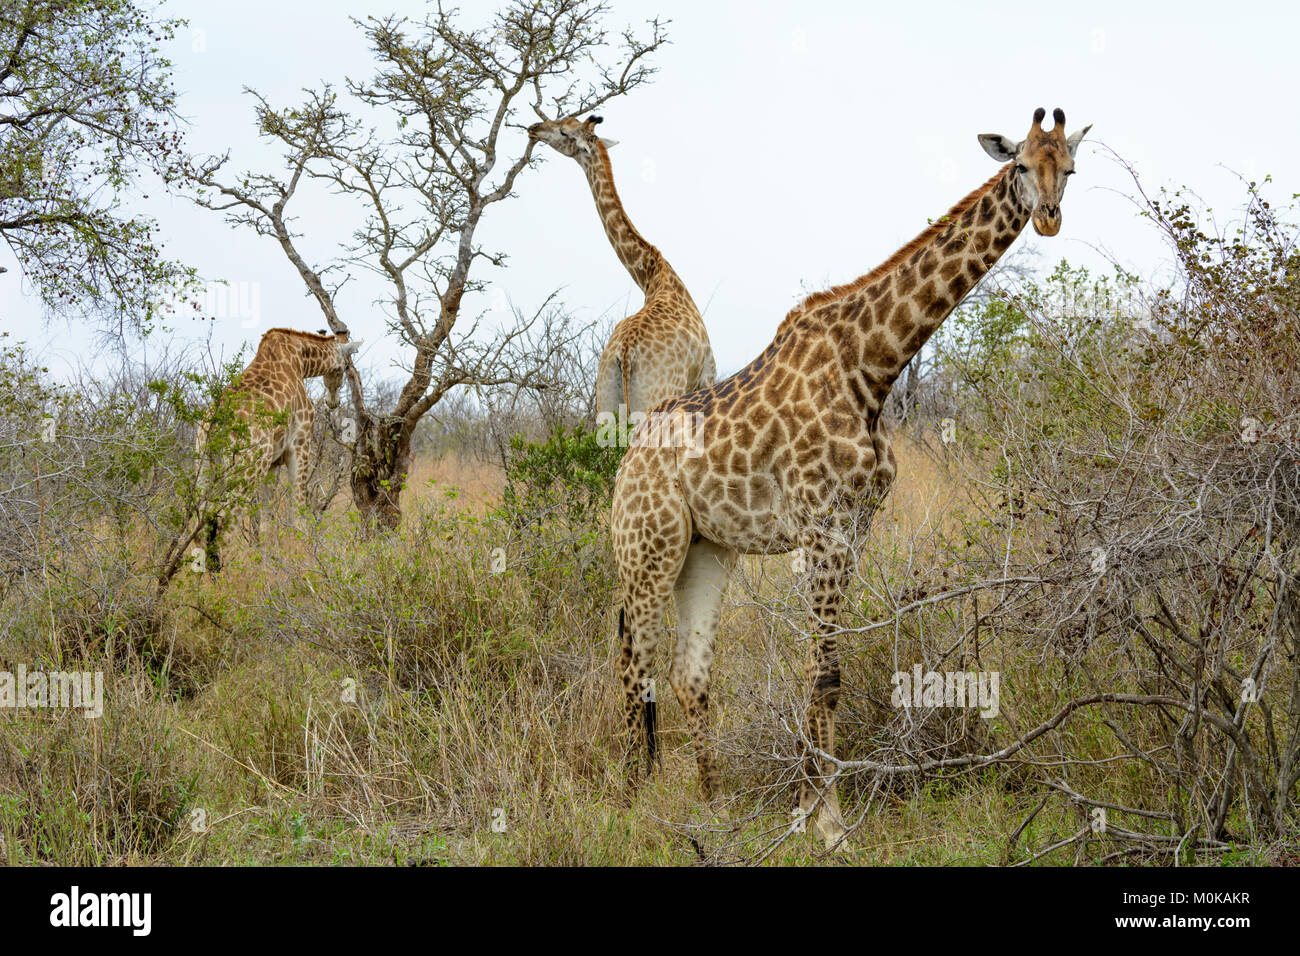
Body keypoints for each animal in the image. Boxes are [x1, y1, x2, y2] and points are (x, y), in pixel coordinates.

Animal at [196, 325, 361, 572]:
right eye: (346, 367)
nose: (333, 402)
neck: (299, 361)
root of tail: (214, 425)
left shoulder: (272, 463)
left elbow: (266, 523)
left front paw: (266, 568)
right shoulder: (300, 445)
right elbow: (297, 515)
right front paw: (304, 564)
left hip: (204, 466)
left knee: (198, 525)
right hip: (247, 468)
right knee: (224, 524)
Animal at [522, 113, 717, 421]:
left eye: (564, 130)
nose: (534, 128)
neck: (651, 273)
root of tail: (625, 352)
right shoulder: (707, 375)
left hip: (605, 400)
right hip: (656, 398)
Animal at [605, 108, 1086, 848]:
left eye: (1070, 167)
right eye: (1020, 165)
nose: (1051, 218)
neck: (874, 366)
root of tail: (627, 456)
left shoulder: (855, 527)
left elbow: (829, 670)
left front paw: (812, 811)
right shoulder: (822, 528)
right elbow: (825, 670)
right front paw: (824, 820)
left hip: (707, 551)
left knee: (689, 672)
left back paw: (713, 805)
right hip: (648, 548)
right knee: (636, 662)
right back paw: (635, 803)